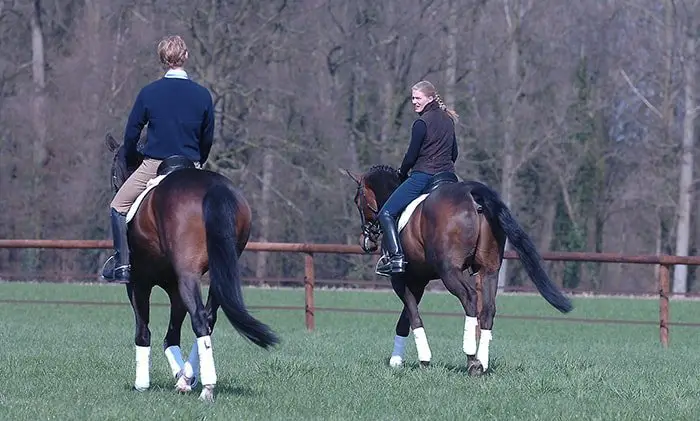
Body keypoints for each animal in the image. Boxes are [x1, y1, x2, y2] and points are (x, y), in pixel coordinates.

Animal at [104, 134, 278, 400]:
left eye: (114, 169)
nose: (115, 186)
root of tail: (214, 188)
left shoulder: (138, 283)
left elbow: (143, 330)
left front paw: (142, 383)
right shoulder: (174, 289)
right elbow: (171, 336)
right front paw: (183, 377)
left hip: (186, 276)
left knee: (199, 318)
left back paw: (207, 388)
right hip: (218, 274)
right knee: (209, 317)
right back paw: (194, 378)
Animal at [342, 164, 572, 374]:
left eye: (357, 200)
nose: (366, 242)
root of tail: (472, 195)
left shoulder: (401, 280)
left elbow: (412, 316)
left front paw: (413, 360)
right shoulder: (419, 282)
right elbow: (406, 317)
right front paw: (400, 359)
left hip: (449, 272)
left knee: (469, 299)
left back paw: (471, 360)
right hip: (489, 270)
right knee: (487, 309)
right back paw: (482, 362)